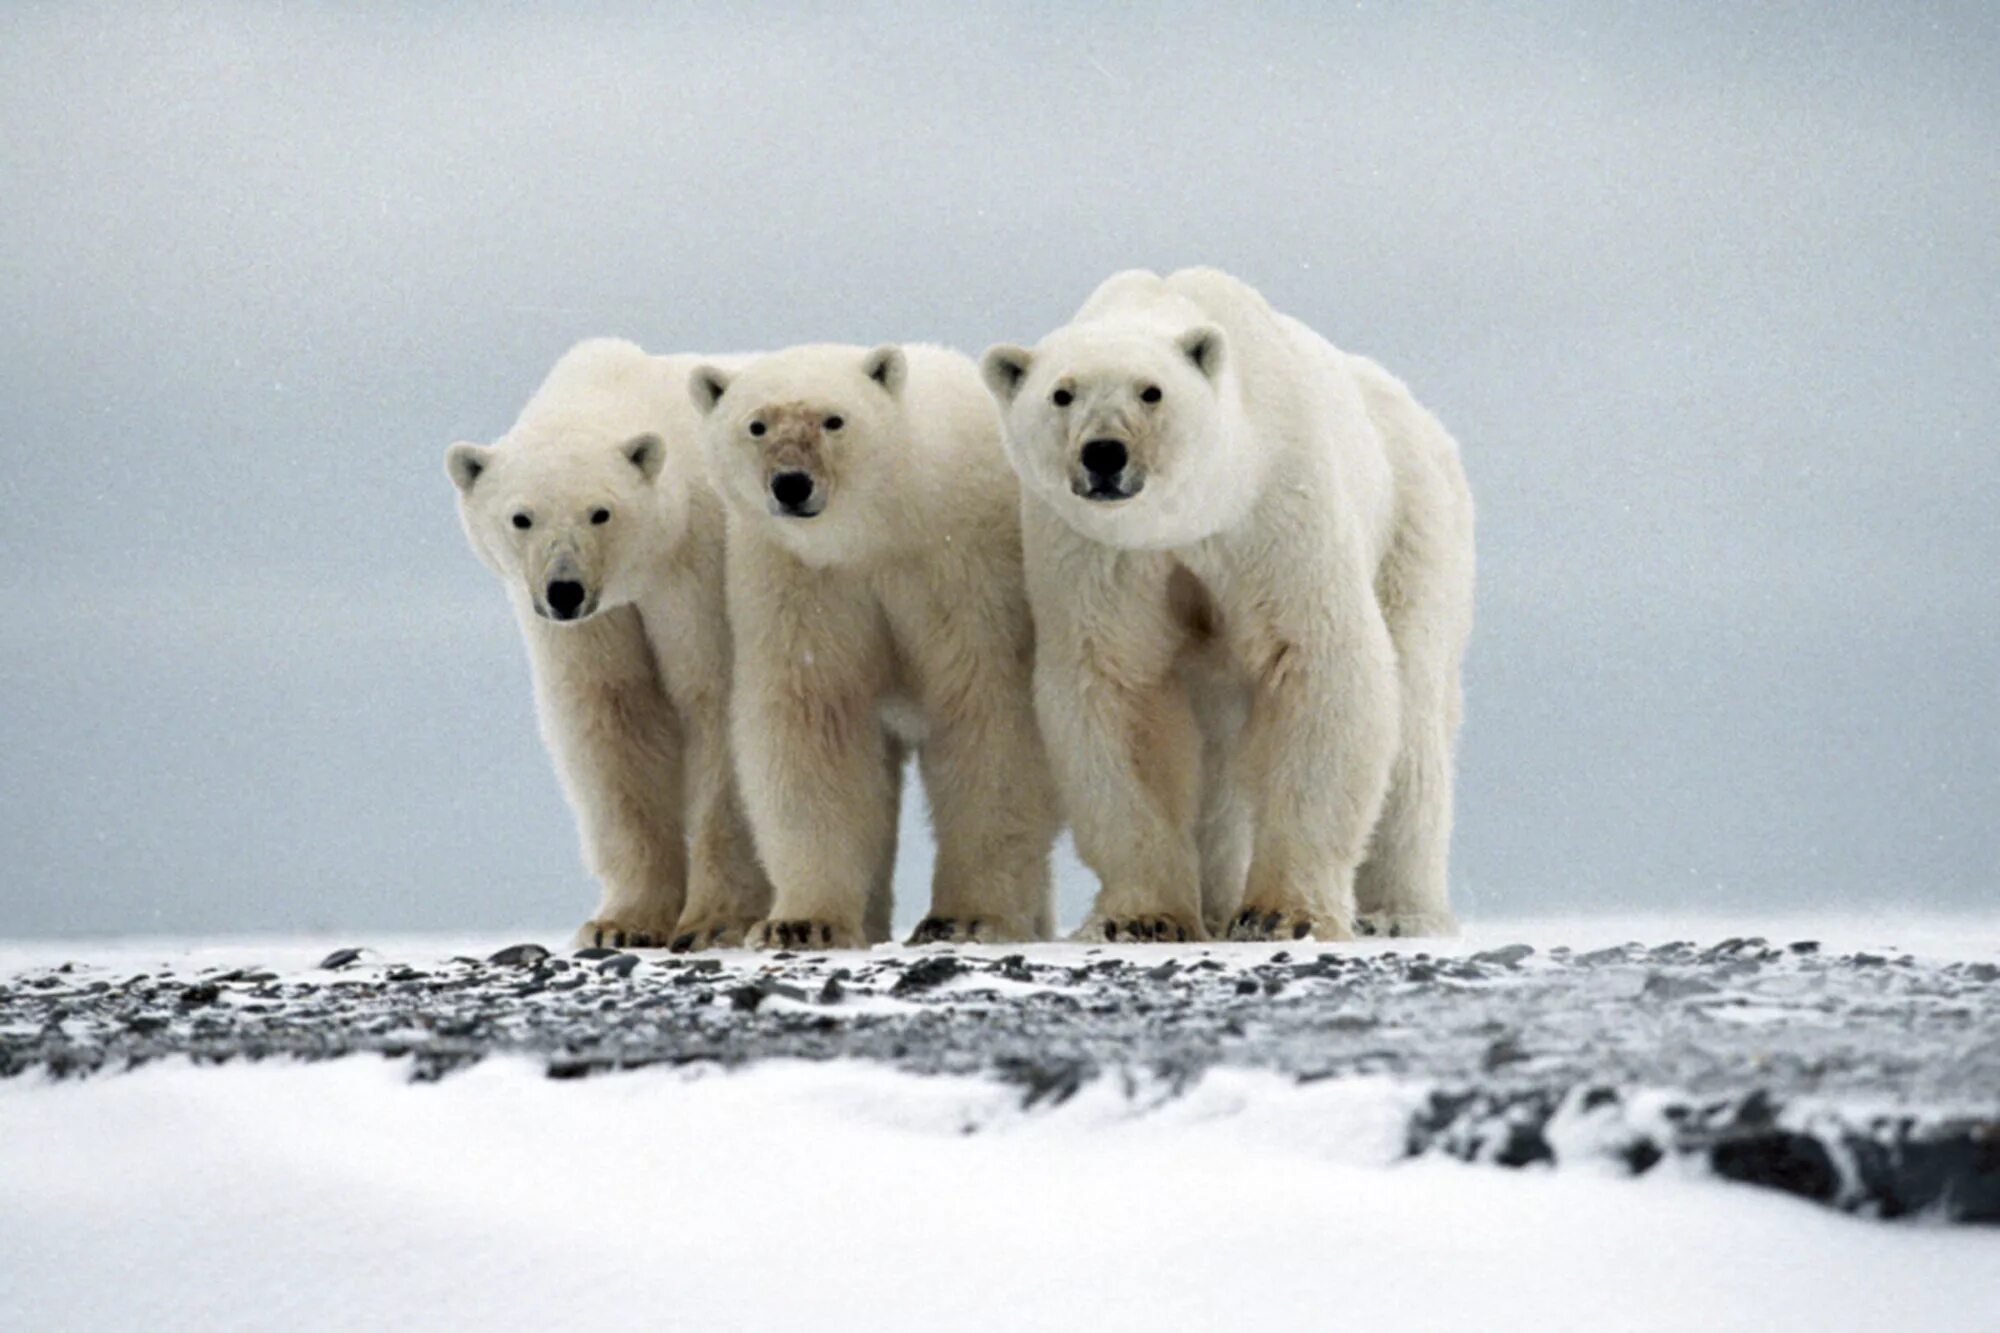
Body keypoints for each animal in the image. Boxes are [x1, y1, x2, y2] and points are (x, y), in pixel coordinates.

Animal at [446, 338, 764, 948]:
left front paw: (714, 920)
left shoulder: (699, 569)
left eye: (601, 512)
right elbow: (613, 718)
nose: (565, 589)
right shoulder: (590, 625)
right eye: (521, 517)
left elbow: (717, 702)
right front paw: (622, 924)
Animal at [688, 342, 1064, 944]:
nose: (791, 483)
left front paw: (967, 916)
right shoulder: (801, 583)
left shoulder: (966, 568)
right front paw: (802, 923)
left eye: (834, 420)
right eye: (757, 424)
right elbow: (813, 723)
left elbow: (988, 715)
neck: (882, 529)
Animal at [980, 264, 1472, 940]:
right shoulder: (1099, 553)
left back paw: (1398, 914)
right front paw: (1140, 919)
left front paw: (1282, 914)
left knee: (1415, 723)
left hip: (1414, 524)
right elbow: (1118, 687)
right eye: (1062, 394)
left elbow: (1318, 662)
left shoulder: (1276, 508)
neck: (1196, 512)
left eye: (1152, 391)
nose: (1104, 452)